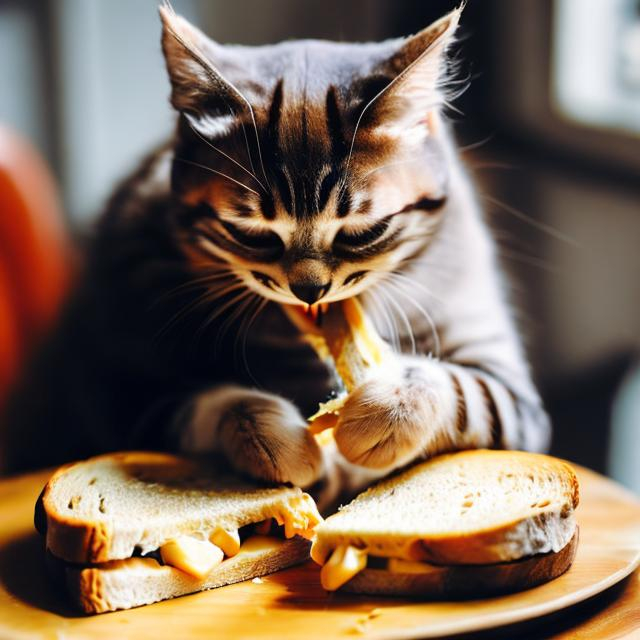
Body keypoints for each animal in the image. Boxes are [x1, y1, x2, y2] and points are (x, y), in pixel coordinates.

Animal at [1, 5, 552, 504]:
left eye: (363, 231)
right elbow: (212, 405)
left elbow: (456, 387)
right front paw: (281, 443)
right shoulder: (121, 389)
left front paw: (379, 417)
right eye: (252, 234)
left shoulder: (510, 388)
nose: (309, 290)